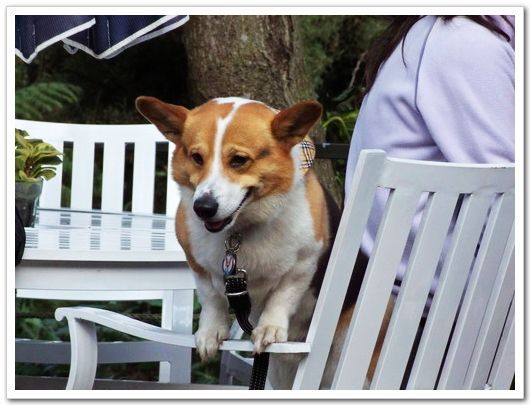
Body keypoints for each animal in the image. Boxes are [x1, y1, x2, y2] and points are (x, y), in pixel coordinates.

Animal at [136, 96, 390, 389]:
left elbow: (281, 297)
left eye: (239, 160)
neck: (239, 230)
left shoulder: (303, 264)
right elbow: (211, 298)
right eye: (197, 158)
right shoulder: (198, 265)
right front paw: (210, 332)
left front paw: (269, 327)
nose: (203, 208)